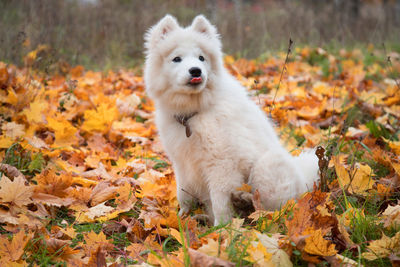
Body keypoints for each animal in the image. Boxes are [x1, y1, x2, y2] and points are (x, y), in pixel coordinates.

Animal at [144, 13, 318, 225]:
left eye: (201, 58)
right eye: (176, 59)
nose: (196, 70)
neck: (195, 112)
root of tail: (303, 184)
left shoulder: (221, 165)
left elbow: (220, 202)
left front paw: (221, 229)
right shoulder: (182, 163)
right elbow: (183, 194)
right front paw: (181, 218)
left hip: (267, 166)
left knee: (271, 209)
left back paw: (247, 203)